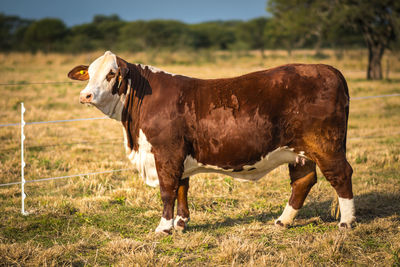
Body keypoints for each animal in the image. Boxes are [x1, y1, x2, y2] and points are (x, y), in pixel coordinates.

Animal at [67, 51, 354, 234]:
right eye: (89, 73)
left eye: (111, 74)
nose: (85, 95)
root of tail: (327, 68)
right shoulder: (179, 155)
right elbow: (182, 188)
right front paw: (181, 224)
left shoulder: (166, 152)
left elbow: (167, 190)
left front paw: (163, 227)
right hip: (299, 151)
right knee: (303, 181)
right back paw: (283, 221)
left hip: (326, 145)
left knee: (341, 175)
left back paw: (347, 223)